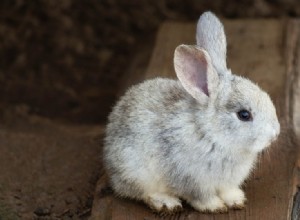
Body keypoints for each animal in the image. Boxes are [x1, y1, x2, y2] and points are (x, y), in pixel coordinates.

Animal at [103, 11, 282, 213]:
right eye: (244, 115)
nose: (275, 134)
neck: (212, 135)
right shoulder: (191, 180)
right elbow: (200, 197)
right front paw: (215, 207)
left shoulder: (226, 183)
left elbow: (228, 191)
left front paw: (236, 200)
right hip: (136, 172)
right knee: (143, 193)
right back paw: (166, 202)